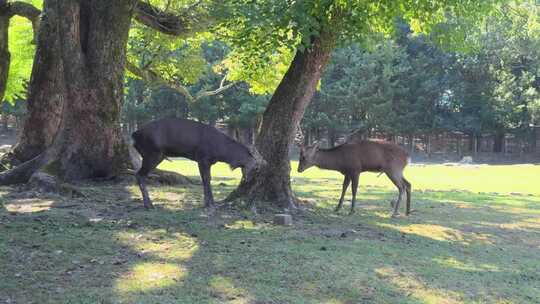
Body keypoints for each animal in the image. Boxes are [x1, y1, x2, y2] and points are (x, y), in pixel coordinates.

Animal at [133, 117, 264, 209]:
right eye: (256, 167)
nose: (248, 181)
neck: (222, 153)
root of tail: (134, 135)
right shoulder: (202, 159)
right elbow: (206, 179)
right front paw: (208, 203)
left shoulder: (209, 162)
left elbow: (208, 179)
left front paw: (211, 202)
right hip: (152, 154)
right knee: (139, 174)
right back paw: (148, 204)